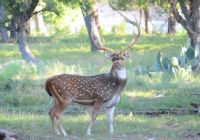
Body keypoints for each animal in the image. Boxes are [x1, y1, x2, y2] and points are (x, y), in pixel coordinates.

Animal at [44, 9, 140, 137]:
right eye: (113, 59)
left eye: (122, 58)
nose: (118, 64)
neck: (116, 88)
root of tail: (48, 81)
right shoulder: (98, 99)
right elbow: (94, 117)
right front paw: (88, 132)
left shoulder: (112, 104)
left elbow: (110, 120)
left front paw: (111, 133)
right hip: (65, 98)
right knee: (57, 114)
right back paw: (63, 133)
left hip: (56, 98)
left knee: (50, 111)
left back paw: (57, 132)